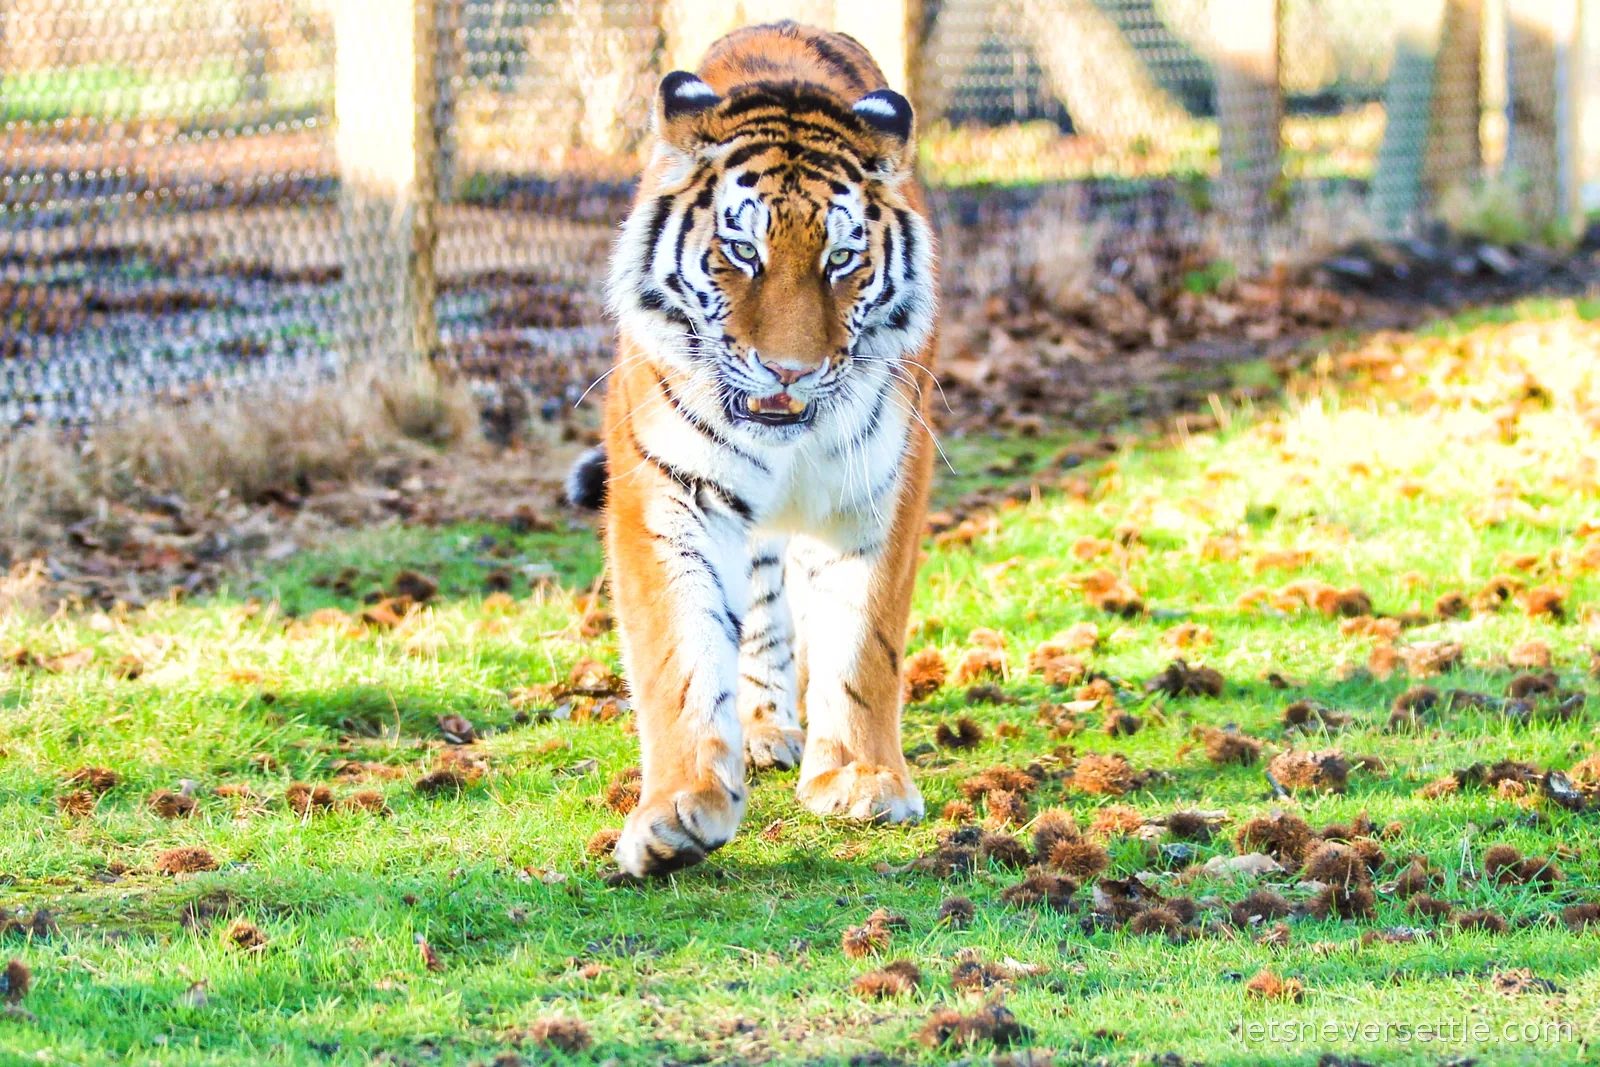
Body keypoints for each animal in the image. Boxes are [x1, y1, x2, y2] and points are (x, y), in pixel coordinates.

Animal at [567, 20, 939, 877]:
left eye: (842, 259)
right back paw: (764, 731)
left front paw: (860, 778)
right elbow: (681, 652)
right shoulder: (668, 492)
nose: (790, 368)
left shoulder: (880, 490)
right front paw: (678, 810)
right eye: (741, 251)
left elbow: (863, 641)